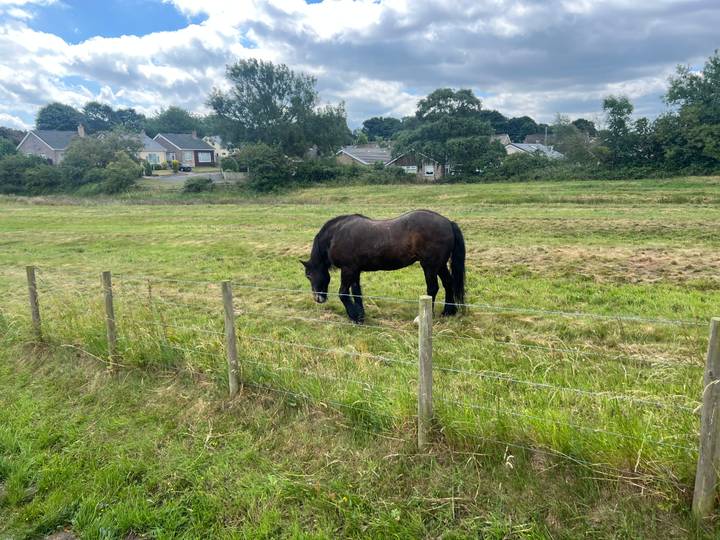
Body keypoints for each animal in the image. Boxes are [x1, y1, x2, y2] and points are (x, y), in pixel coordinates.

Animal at [301, 210, 466, 323]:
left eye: (308, 275)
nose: (318, 298)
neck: (336, 234)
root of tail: (448, 222)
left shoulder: (348, 270)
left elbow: (343, 294)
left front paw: (355, 316)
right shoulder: (355, 270)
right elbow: (357, 292)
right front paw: (360, 315)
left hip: (430, 265)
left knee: (433, 288)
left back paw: (422, 318)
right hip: (440, 265)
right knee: (448, 283)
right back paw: (448, 311)